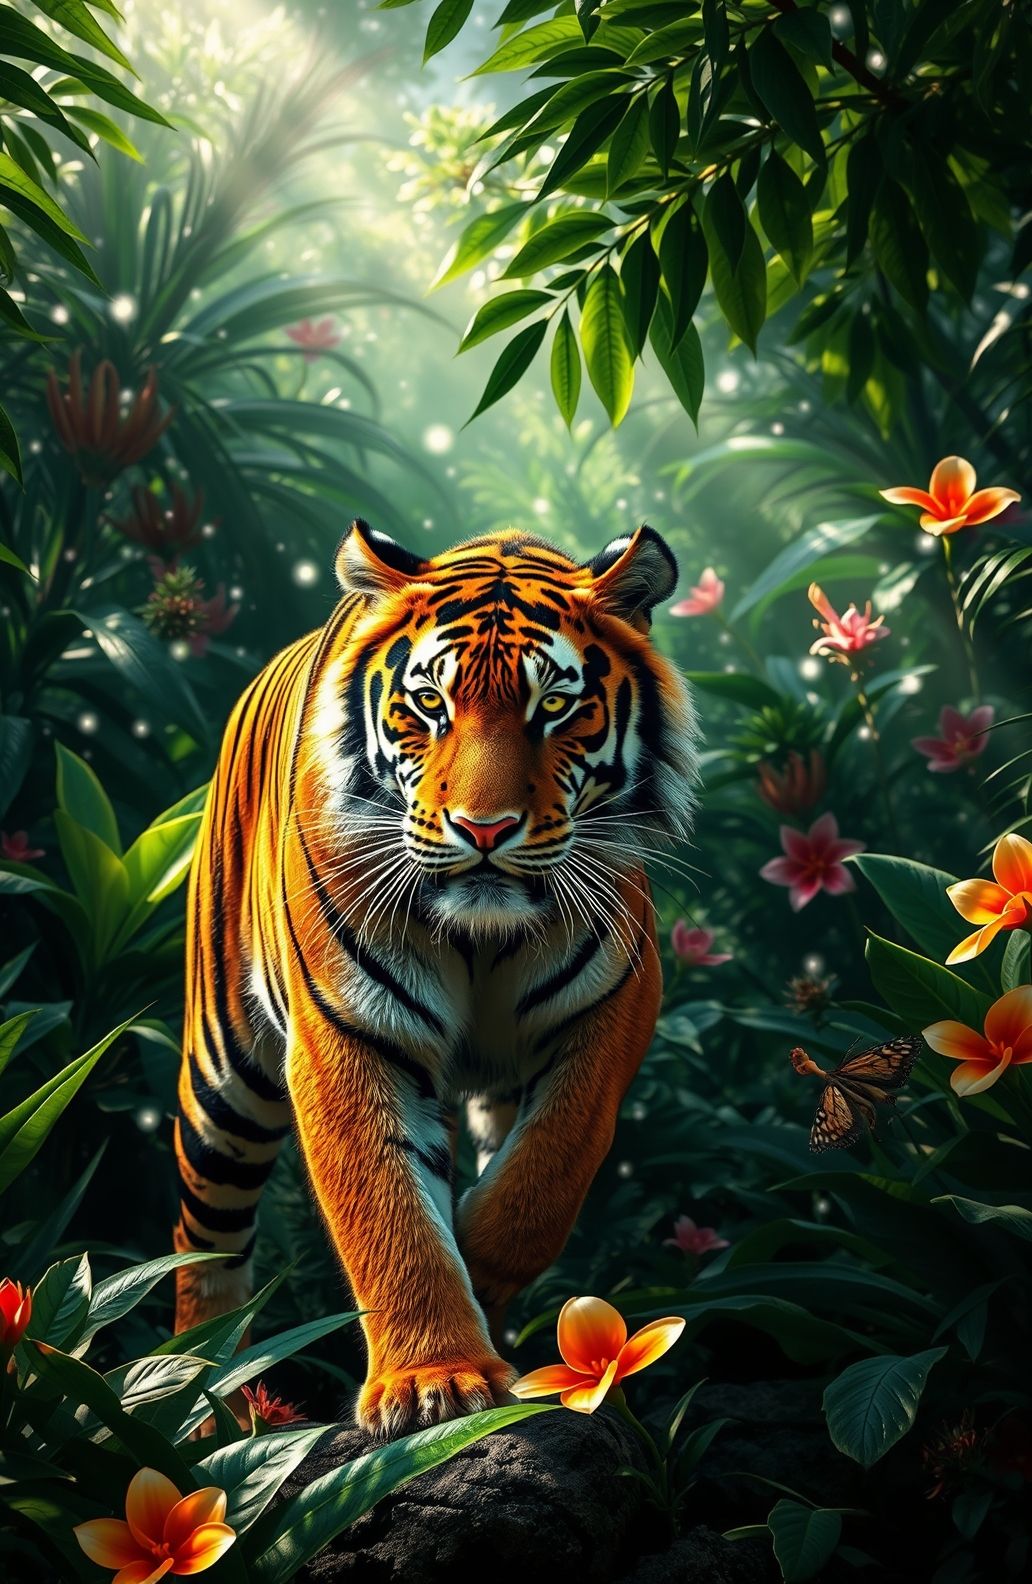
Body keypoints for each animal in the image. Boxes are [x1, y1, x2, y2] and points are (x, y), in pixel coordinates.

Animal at [173, 519, 698, 1437]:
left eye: (554, 705)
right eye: (428, 704)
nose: (482, 829)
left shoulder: (615, 1003)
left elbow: (546, 1172)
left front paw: (485, 1275)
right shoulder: (348, 1031)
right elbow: (388, 1210)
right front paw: (436, 1382)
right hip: (223, 1089)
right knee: (202, 1243)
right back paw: (206, 1413)